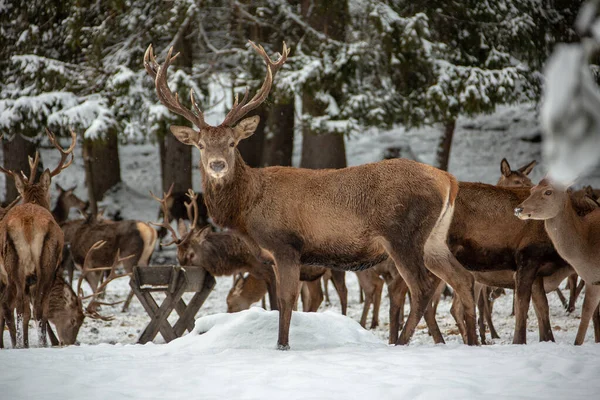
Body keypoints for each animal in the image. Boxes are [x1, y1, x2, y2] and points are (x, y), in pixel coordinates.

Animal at [0, 129, 76, 346]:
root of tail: (28, 223)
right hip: (46, 263)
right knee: (34, 309)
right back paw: (37, 344)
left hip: (14, 265)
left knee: (16, 307)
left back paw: (20, 344)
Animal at [145, 40, 478, 348]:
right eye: (201, 145)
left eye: (232, 143)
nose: (217, 164)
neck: (248, 209)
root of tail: (448, 180)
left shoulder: (285, 245)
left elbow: (286, 300)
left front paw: (282, 345)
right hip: (434, 239)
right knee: (463, 278)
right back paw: (472, 342)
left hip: (403, 234)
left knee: (422, 286)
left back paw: (401, 342)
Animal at [512, 178, 600, 344]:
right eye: (532, 189)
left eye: (548, 191)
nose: (518, 209)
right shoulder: (592, 280)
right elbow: (587, 311)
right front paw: (577, 344)